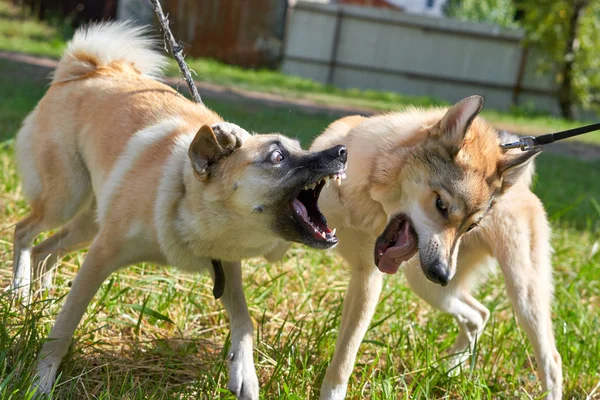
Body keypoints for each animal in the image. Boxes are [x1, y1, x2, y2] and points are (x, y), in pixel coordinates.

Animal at [12, 22, 346, 400]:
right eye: (277, 157)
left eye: (300, 148)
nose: (342, 151)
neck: (186, 199)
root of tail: (89, 69)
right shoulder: (100, 257)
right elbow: (64, 328)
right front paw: (40, 382)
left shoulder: (226, 266)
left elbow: (244, 321)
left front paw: (245, 374)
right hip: (66, 199)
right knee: (24, 232)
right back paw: (20, 290)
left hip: (87, 224)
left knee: (45, 249)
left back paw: (39, 298)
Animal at [310, 97, 564, 400]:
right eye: (441, 205)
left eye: (471, 226)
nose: (443, 274)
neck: (359, 200)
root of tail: (520, 186)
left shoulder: (367, 279)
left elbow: (344, 360)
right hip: (427, 285)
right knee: (479, 315)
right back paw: (451, 369)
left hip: (523, 296)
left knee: (551, 359)